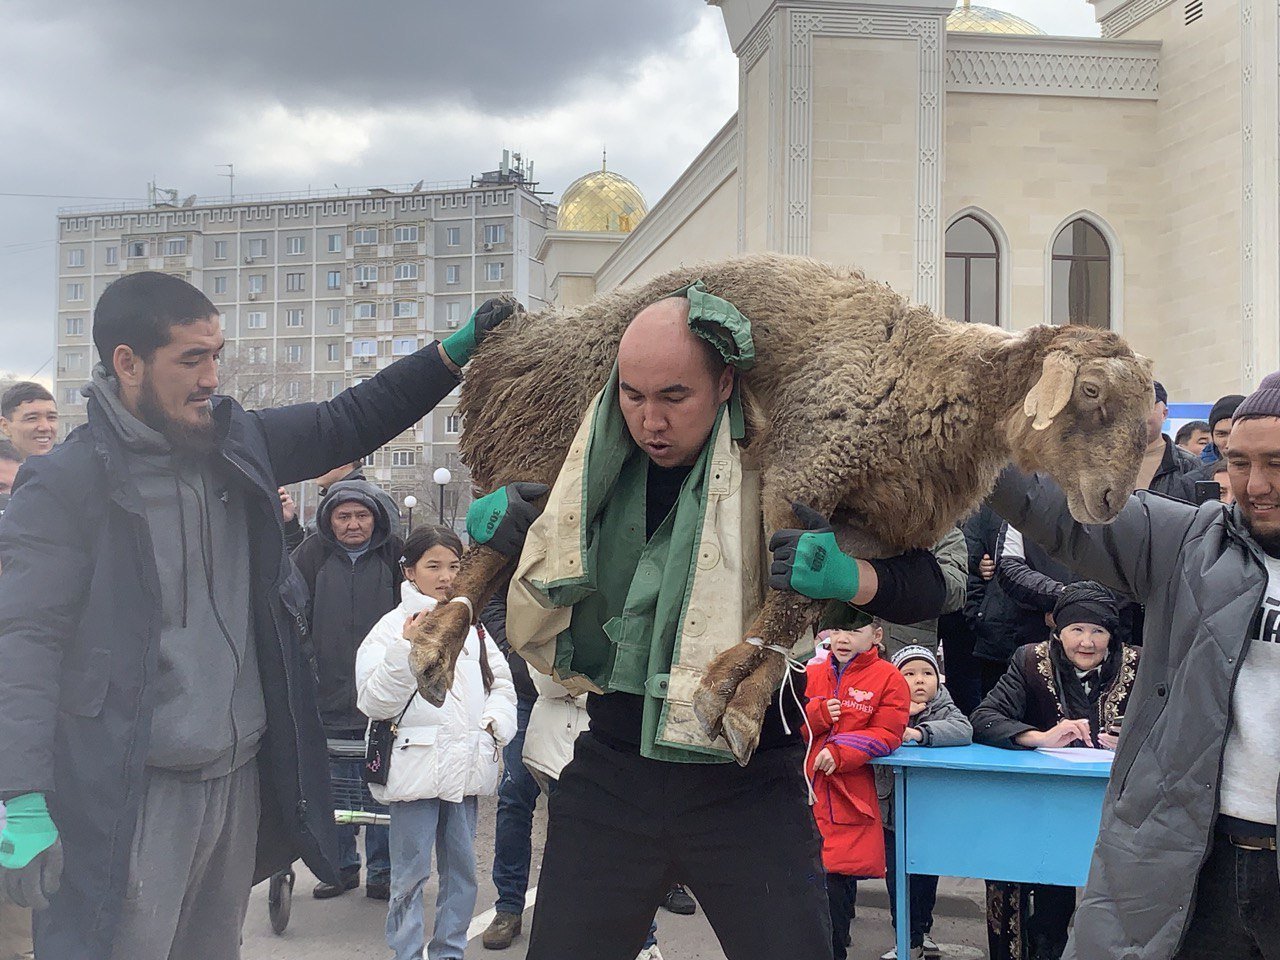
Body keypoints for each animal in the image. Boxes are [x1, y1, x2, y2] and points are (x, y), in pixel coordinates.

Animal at [407, 253, 1152, 768]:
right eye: (1090, 391)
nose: (1112, 502)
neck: (931, 373)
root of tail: (521, 344)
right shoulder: (807, 464)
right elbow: (783, 594)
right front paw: (727, 689)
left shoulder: (867, 527)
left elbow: (802, 593)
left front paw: (745, 695)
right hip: (545, 454)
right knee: (492, 552)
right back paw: (436, 644)